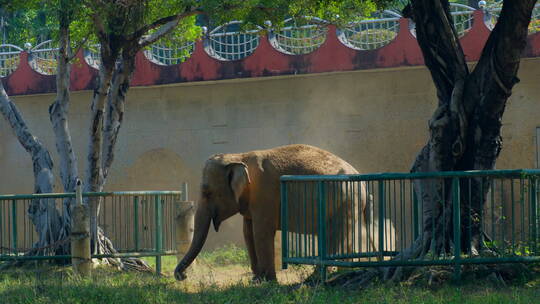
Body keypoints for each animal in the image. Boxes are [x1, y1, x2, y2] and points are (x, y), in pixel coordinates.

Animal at [174, 144, 376, 282]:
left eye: (207, 192)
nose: (181, 276)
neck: (240, 156)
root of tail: (362, 181)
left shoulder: (265, 194)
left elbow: (261, 232)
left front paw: (268, 281)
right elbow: (248, 233)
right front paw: (255, 280)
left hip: (344, 202)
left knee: (334, 236)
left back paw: (315, 278)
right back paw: (344, 273)